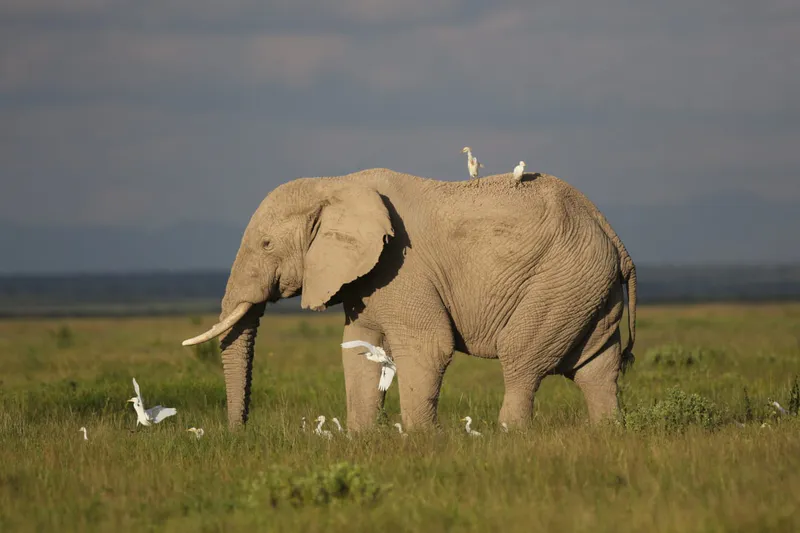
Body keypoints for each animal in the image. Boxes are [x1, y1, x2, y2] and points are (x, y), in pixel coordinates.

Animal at [182, 168, 637, 432]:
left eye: (266, 244)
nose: (239, 435)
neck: (336, 184)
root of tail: (611, 233)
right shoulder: (366, 278)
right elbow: (360, 351)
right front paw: (362, 440)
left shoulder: (403, 267)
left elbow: (428, 347)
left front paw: (419, 443)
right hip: (587, 289)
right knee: (596, 368)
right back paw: (607, 433)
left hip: (561, 279)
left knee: (521, 358)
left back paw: (507, 436)